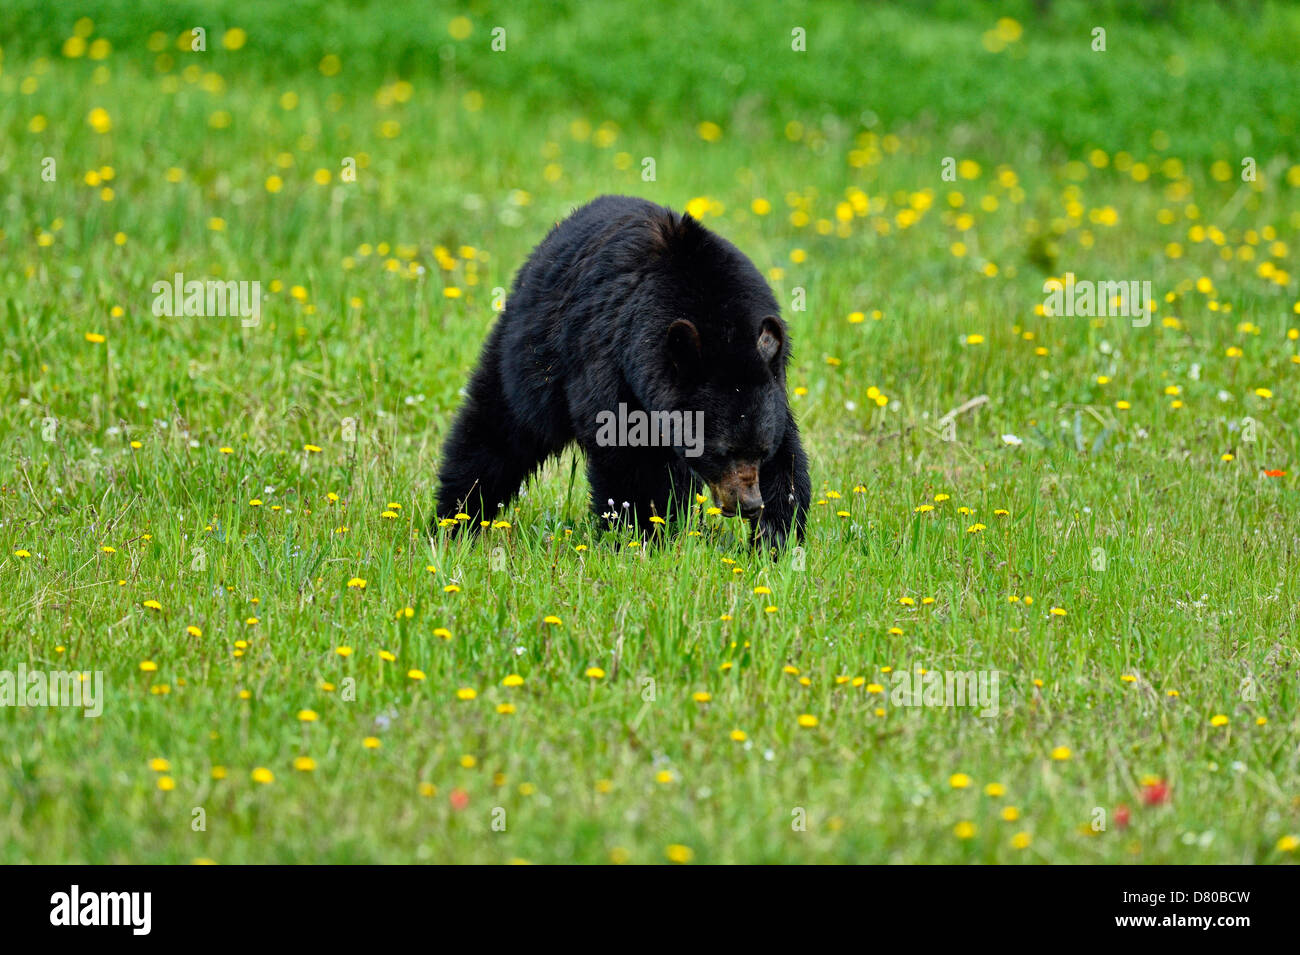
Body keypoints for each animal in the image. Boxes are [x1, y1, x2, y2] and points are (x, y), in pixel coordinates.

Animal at [431, 193, 806, 548]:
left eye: (761, 451)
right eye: (719, 451)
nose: (749, 504)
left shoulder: (769, 385)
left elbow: (787, 461)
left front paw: (776, 537)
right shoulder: (611, 363)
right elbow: (627, 457)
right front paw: (644, 534)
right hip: (531, 354)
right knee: (497, 431)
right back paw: (455, 519)